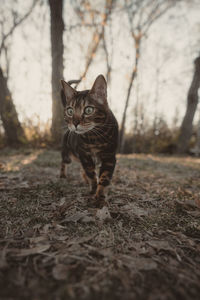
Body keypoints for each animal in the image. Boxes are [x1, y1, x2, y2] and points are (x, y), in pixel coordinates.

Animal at [60, 75, 118, 206]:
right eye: (70, 111)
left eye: (88, 110)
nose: (75, 123)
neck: (94, 138)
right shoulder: (84, 155)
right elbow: (91, 174)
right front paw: (93, 190)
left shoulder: (110, 157)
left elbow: (104, 178)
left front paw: (100, 197)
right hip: (67, 154)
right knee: (64, 163)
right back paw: (62, 175)